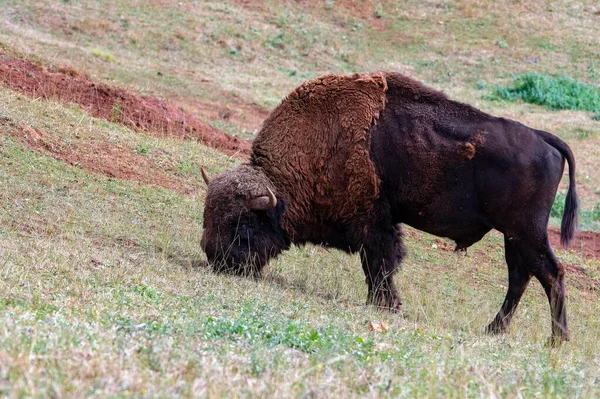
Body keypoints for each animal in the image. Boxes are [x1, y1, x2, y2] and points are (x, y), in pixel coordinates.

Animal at [200, 71, 576, 344]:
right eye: (209, 217)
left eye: (243, 225)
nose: (216, 258)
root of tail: (543, 138)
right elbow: (378, 266)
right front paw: (383, 304)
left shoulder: (373, 221)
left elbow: (380, 263)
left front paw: (384, 305)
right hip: (513, 236)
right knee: (520, 277)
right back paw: (495, 330)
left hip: (525, 231)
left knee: (550, 273)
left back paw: (556, 340)